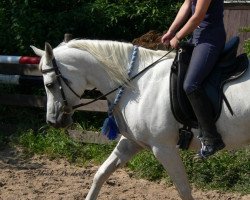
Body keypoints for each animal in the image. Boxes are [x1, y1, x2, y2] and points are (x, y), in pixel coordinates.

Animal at [31, 39, 250, 200]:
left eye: (49, 84)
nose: (53, 121)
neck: (136, 84)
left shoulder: (163, 149)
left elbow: (184, 190)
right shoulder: (131, 142)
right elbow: (101, 174)